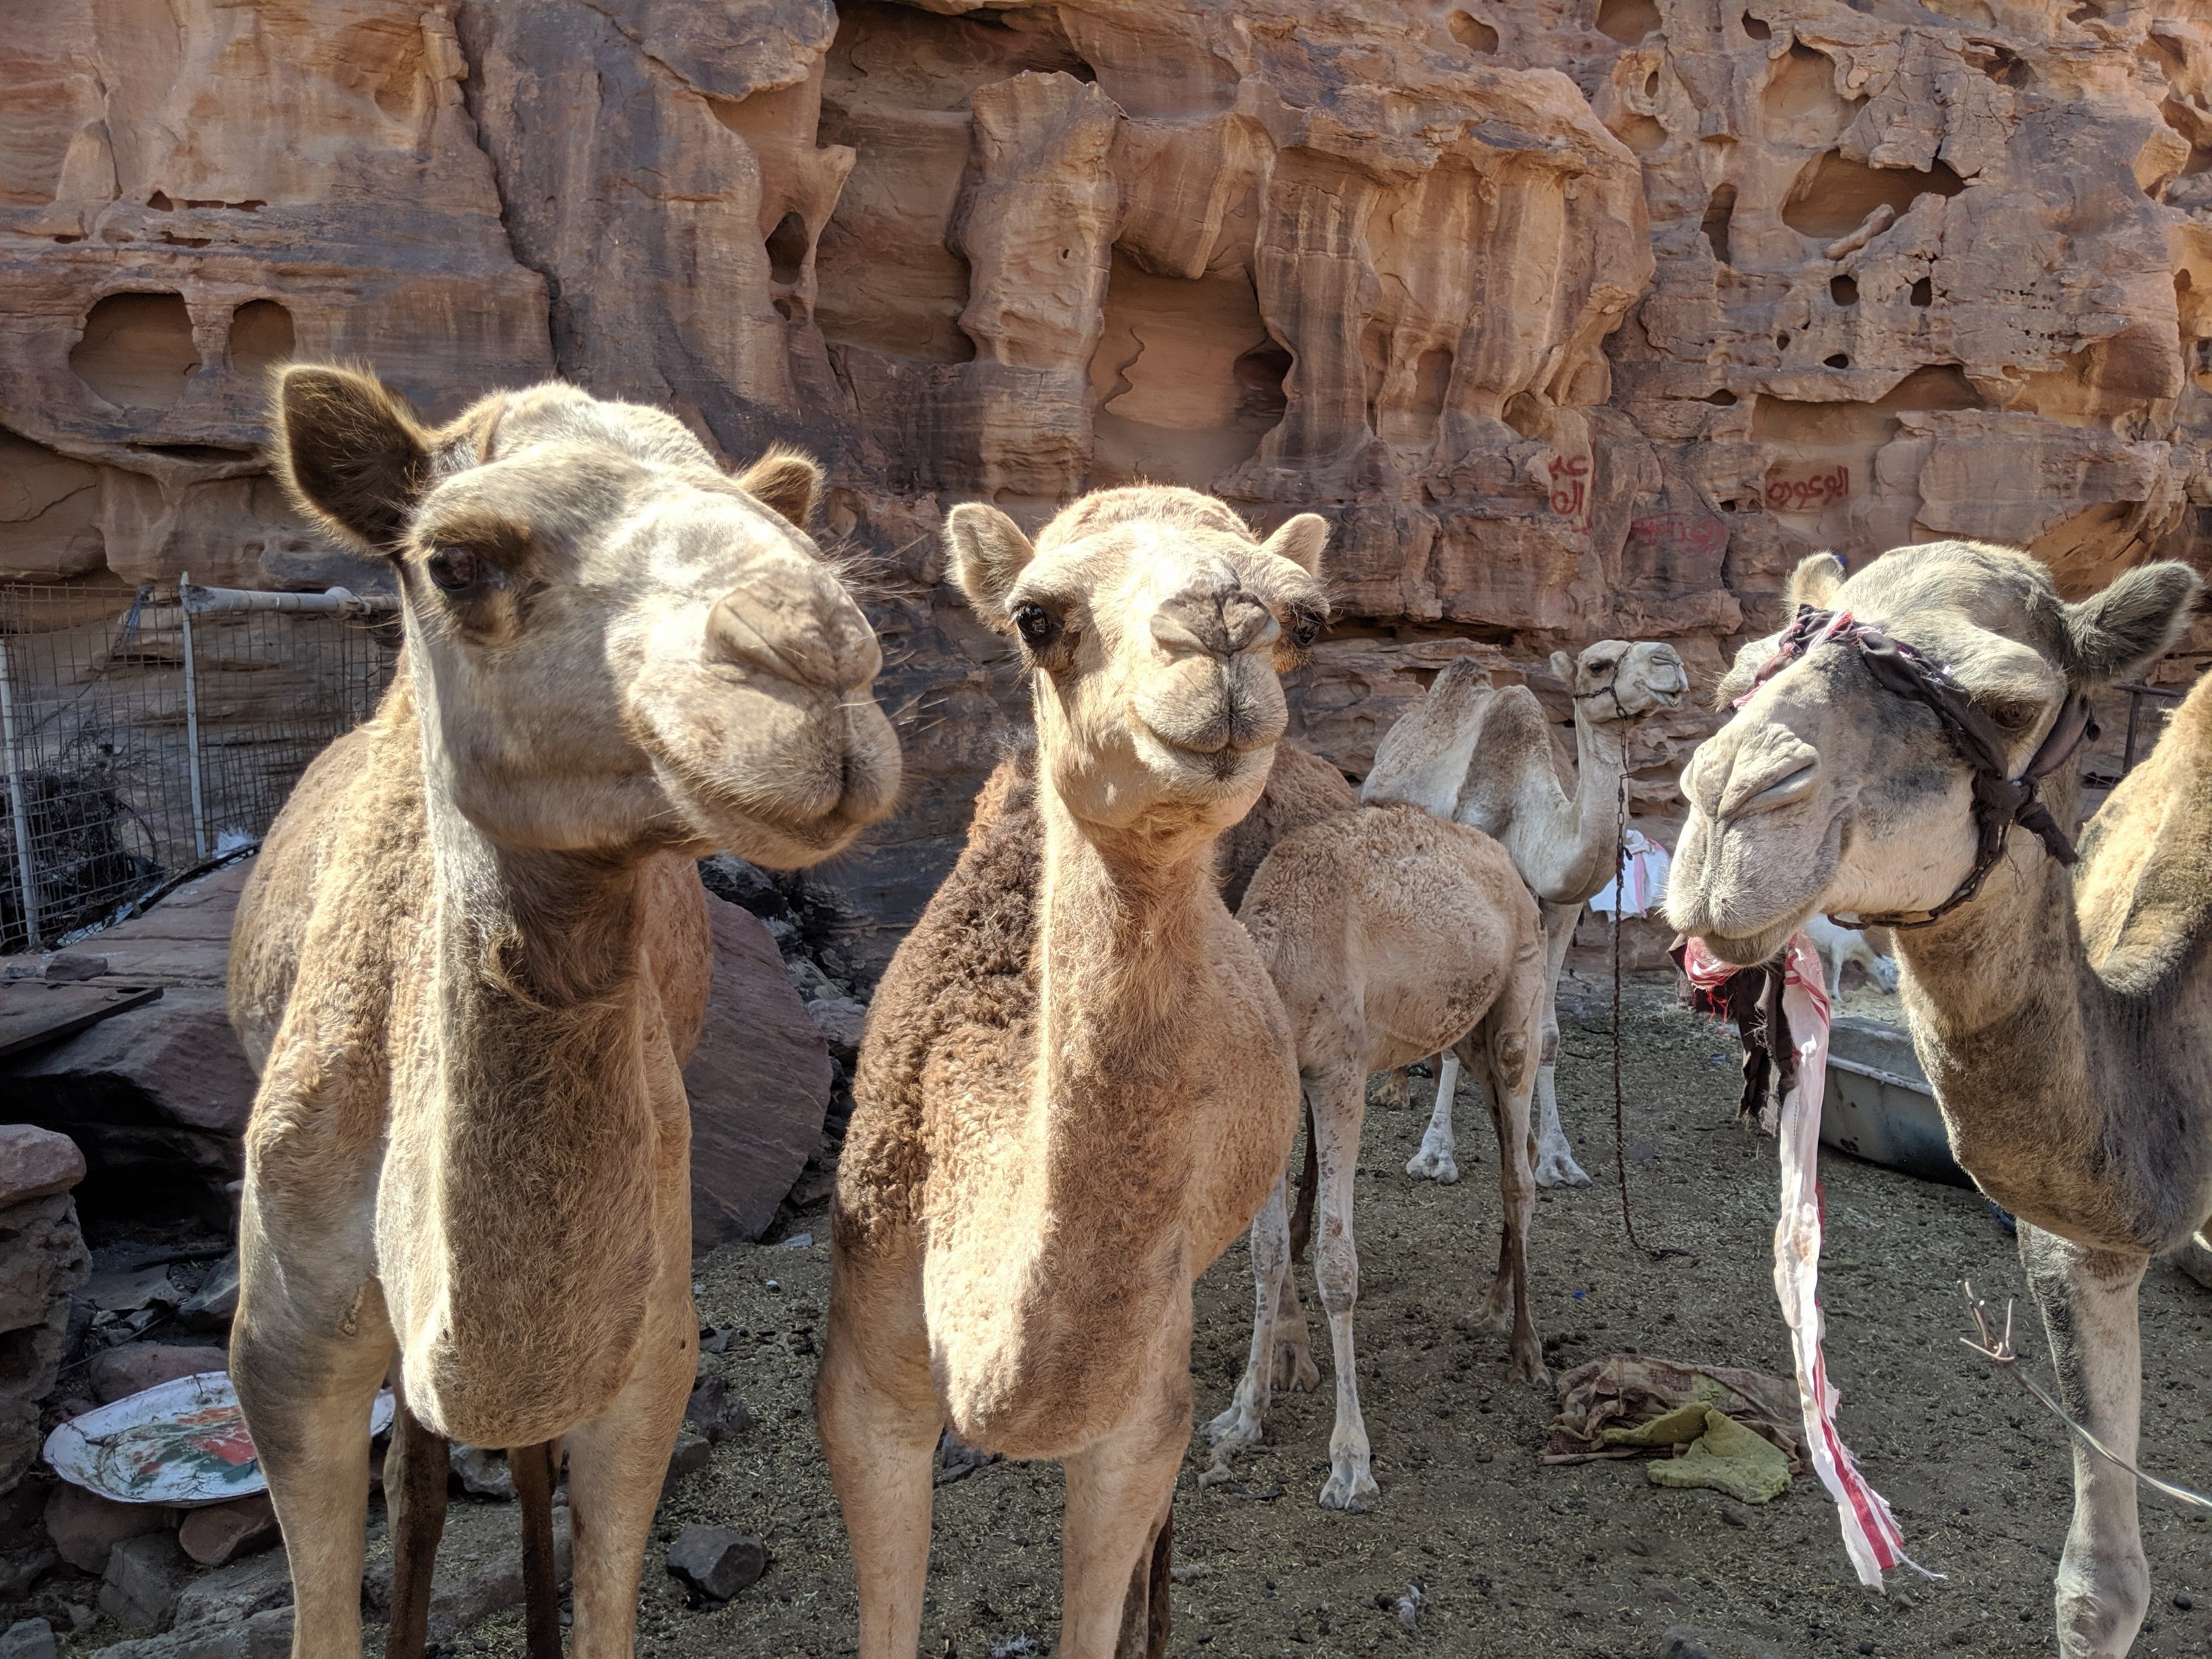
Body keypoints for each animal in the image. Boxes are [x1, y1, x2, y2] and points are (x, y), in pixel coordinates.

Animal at [226, 366, 900, 1659]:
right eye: (455, 559)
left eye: (795, 529)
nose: (822, 655)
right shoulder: (281, 1353)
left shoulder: (648, 1352)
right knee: (421, 1475)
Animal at [1199, 687, 1548, 1508]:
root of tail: (1507, 864)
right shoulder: (1276, 1094)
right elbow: (1266, 1251)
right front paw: (1245, 1415)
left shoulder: (1340, 1075)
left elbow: (1336, 1263)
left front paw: (1350, 1460)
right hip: (1469, 1028)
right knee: (1504, 1147)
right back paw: (1491, 1306)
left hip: (1522, 988)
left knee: (1521, 1174)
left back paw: (1527, 1349)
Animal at [1375, 642, 1686, 1188]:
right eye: (1598, 665)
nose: (1669, 660)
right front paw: (1435, 1156)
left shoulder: (1560, 906)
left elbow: (1546, 1035)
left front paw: (1557, 1160)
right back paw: (1393, 1088)